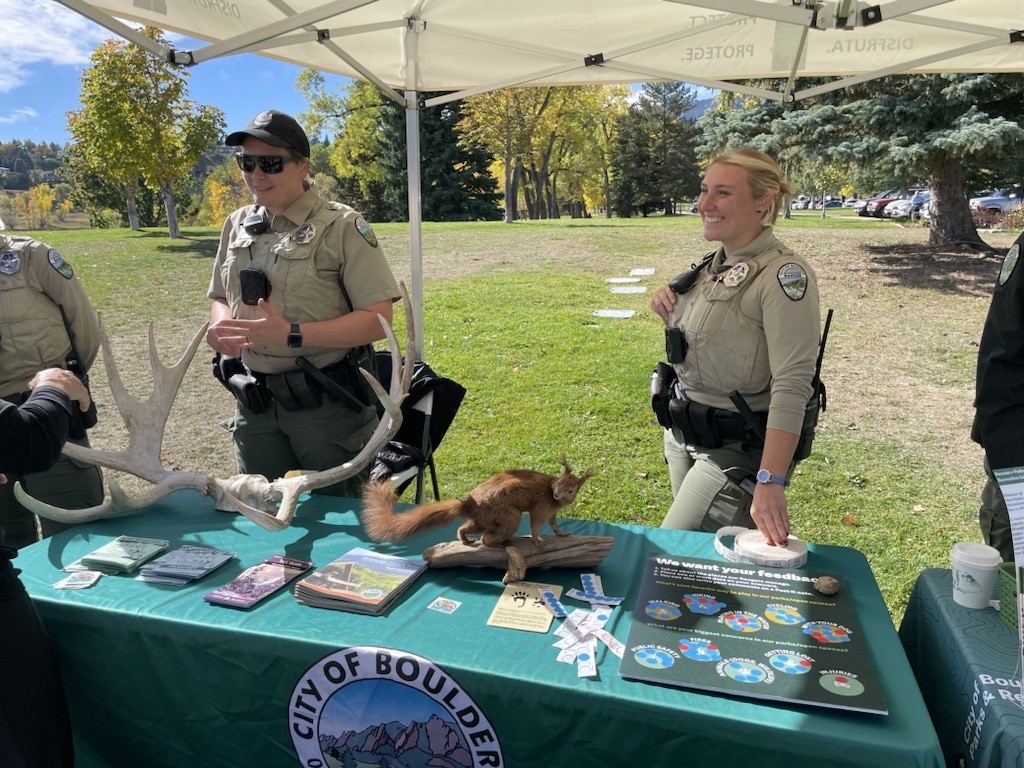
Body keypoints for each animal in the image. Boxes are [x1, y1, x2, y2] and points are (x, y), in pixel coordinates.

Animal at [362, 460, 598, 548]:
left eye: (571, 490)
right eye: (558, 483)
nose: (557, 495)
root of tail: (470, 504)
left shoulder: (553, 511)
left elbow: (554, 524)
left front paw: (562, 533)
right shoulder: (542, 506)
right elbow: (536, 523)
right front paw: (537, 540)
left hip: (483, 519)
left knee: (466, 527)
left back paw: (466, 538)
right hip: (506, 516)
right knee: (488, 538)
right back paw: (499, 542)